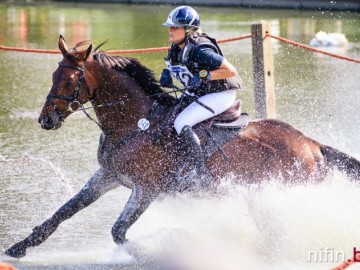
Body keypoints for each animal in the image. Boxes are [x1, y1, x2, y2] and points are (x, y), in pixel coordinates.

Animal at [4, 34, 360, 258]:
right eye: (53, 75)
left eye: (68, 80)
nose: (46, 119)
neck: (133, 124)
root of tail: (312, 144)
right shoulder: (107, 177)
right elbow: (63, 212)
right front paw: (18, 247)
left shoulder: (145, 189)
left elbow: (118, 232)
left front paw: (152, 255)